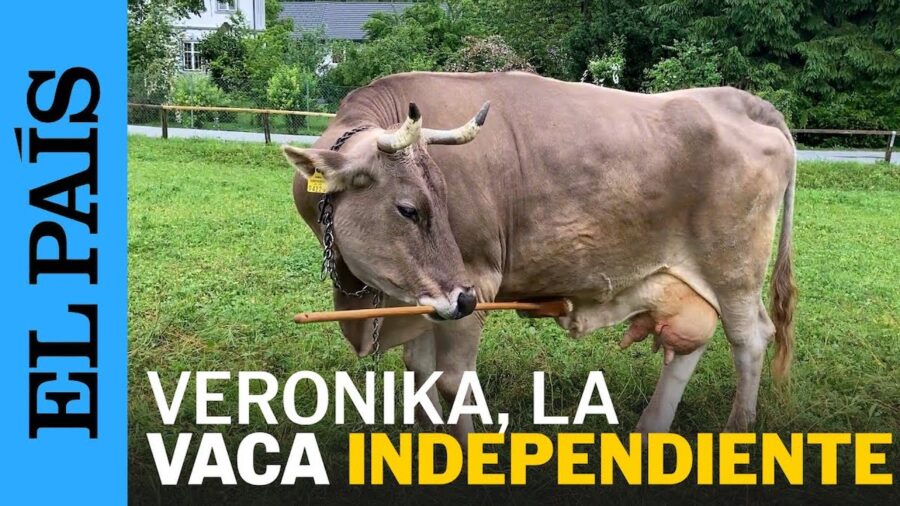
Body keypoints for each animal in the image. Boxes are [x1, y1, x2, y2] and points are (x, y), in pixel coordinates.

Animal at [283, 71, 797, 442]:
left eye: (442, 201)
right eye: (409, 209)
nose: (462, 301)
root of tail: (738, 100)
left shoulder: (474, 279)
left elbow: (453, 382)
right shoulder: (427, 296)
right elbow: (419, 372)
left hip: (735, 268)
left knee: (750, 339)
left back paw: (737, 430)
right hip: (692, 277)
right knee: (694, 338)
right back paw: (650, 429)